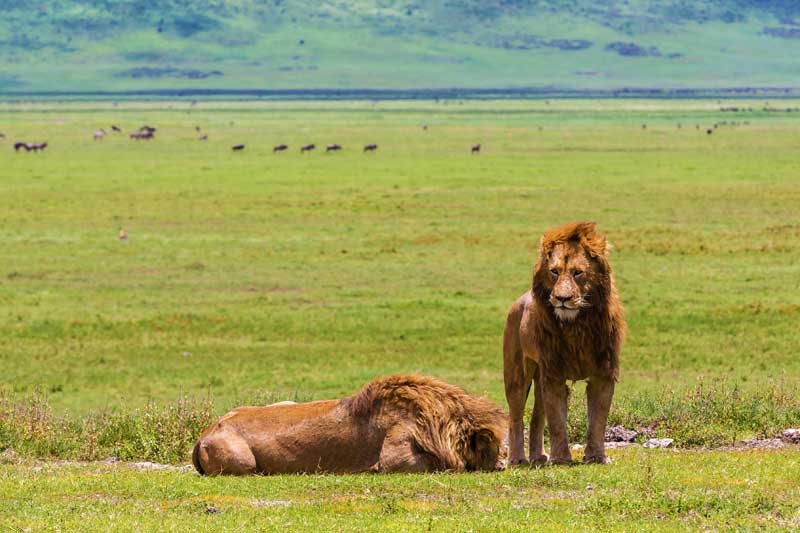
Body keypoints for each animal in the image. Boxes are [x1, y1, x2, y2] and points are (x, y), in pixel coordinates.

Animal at [193, 372, 506, 476]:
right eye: (492, 446)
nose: (503, 464)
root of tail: (204, 433)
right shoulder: (393, 459)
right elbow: (450, 465)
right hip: (243, 462)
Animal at [506, 219, 624, 462]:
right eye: (554, 272)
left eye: (578, 273)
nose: (562, 298)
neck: (576, 327)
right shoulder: (553, 374)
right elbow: (557, 422)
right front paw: (561, 458)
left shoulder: (603, 373)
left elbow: (598, 420)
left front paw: (597, 457)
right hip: (516, 374)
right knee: (515, 415)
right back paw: (517, 458)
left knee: (537, 416)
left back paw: (539, 457)